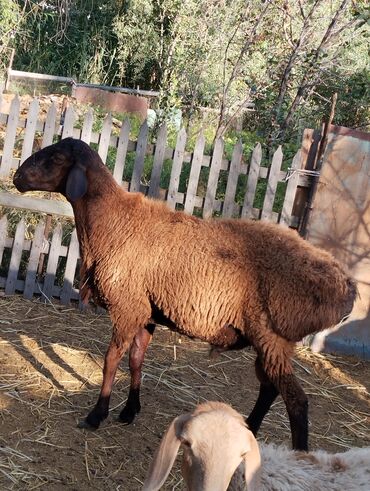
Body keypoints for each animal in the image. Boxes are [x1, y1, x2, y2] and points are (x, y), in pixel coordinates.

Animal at [13, 136, 356, 452]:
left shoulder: (128, 306)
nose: (16, 177)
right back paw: (250, 428)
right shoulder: (147, 311)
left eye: (56, 157)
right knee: (270, 389)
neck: (111, 219)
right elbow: (136, 360)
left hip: (274, 335)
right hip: (271, 341)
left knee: (297, 401)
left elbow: (111, 361)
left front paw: (97, 415)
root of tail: (345, 286)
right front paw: (130, 410)